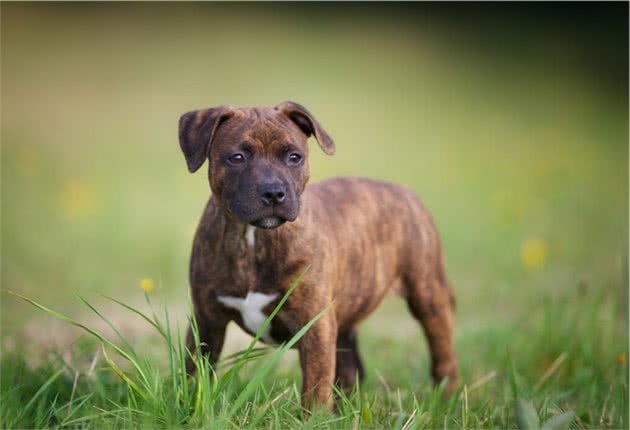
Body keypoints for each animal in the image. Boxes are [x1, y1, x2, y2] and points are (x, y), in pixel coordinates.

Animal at [178, 101, 460, 410]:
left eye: (294, 157)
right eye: (237, 157)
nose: (274, 193)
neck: (253, 240)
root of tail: (405, 191)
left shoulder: (316, 325)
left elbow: (315, 386)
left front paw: (313, 417)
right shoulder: (206, 321)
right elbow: (195, 374)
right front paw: (190, 407)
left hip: (428, 294)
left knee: (443, 352)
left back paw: (447, 400)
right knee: (350, 369)